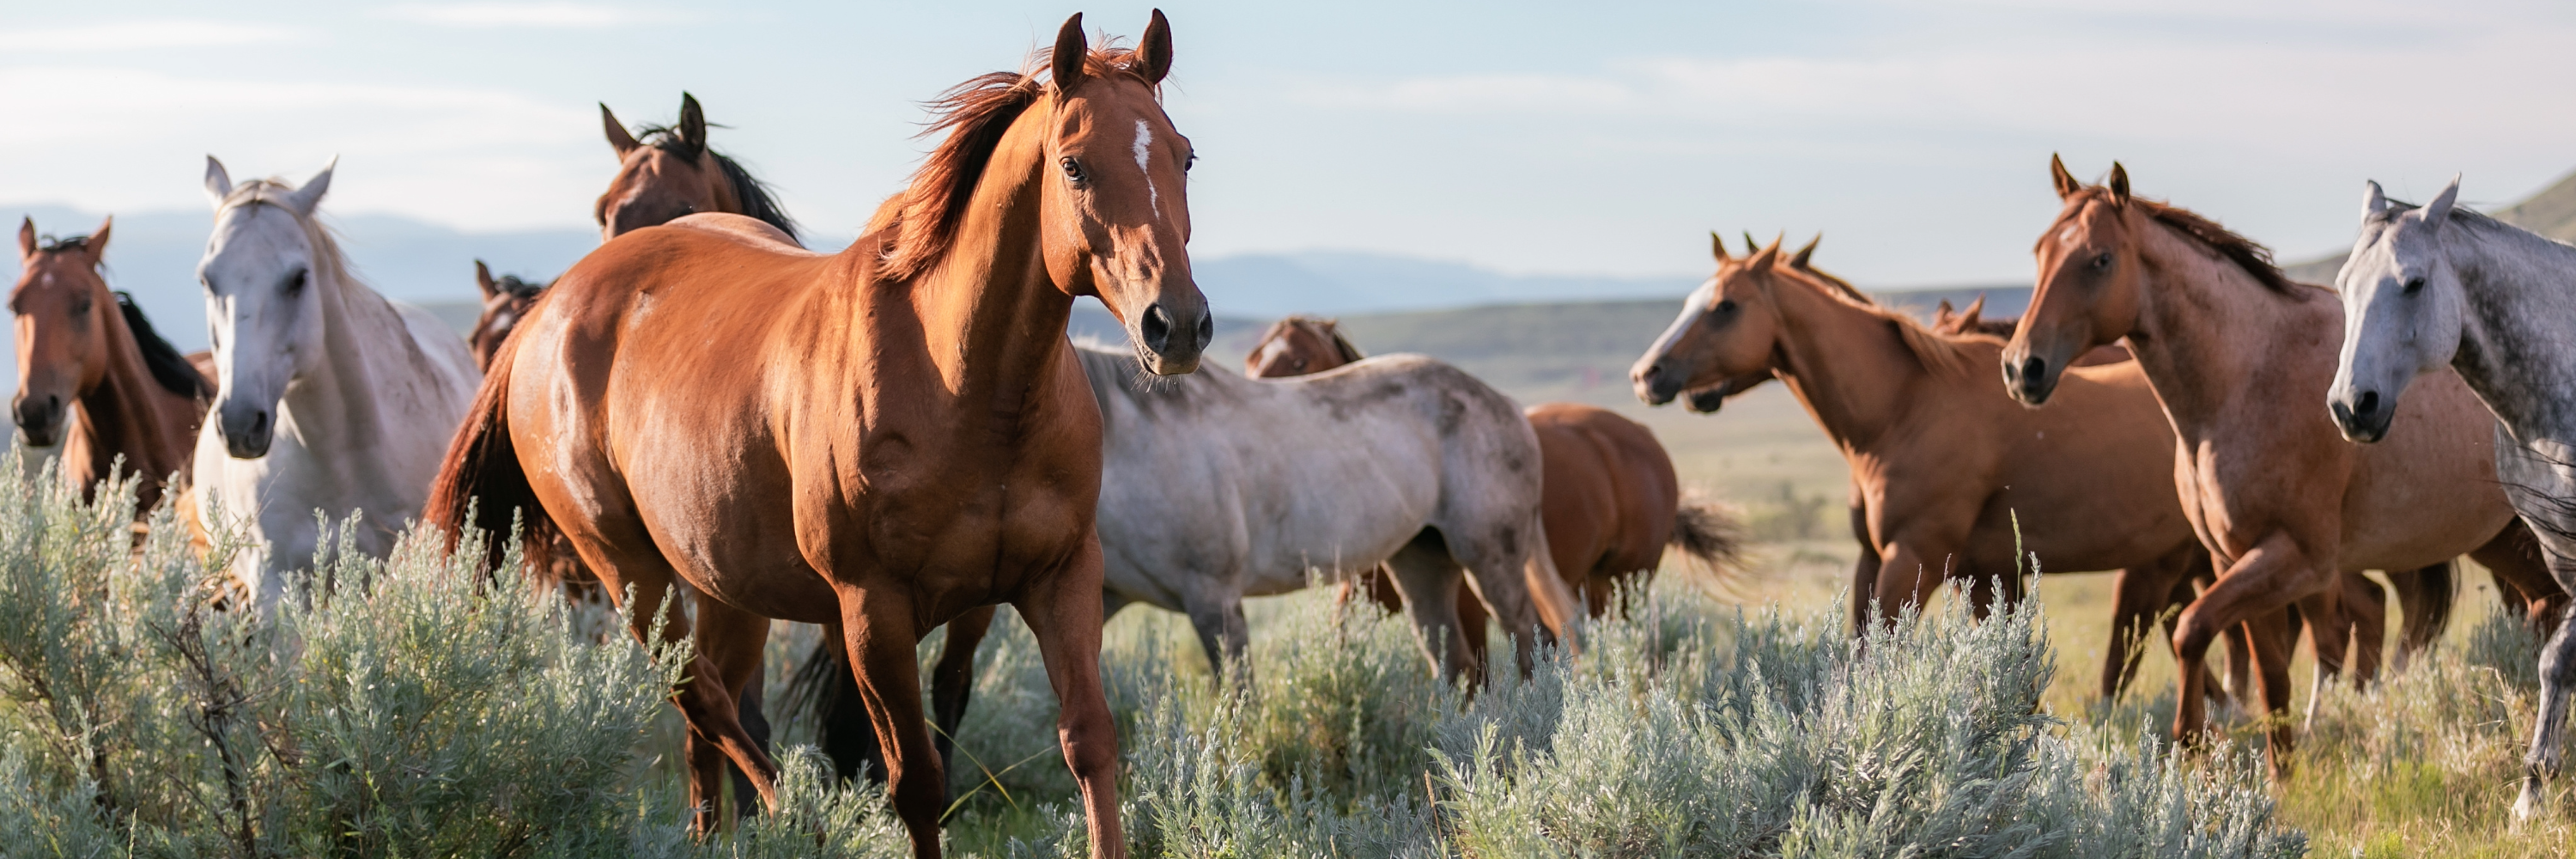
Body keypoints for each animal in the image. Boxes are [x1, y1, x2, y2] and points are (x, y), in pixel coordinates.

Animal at [427, 14, 1200, 854]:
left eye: (1184, 154)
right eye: (1073, 165)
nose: (1177, 324)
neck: (969, 389)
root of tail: (550, 309)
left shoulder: (1058, 576)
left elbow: (1088, 741)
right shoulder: (870, 612)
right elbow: (913, 778)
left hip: (723, 585)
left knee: (705, 720)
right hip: (628, 569)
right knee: (704, 700)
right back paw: (803, 817)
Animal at [1242, 315, 1740, 635]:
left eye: (1299, 362)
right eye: (1251, 362)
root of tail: (1643, 436)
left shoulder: (1468, 610)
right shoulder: (1358, 607)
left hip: (1625, 584)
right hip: (1590, 585)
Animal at [1626, 232, 2444, 702]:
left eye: (1726, 307)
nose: (1647, 373)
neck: (1903, 406)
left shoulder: (1915, 559)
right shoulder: (1946, 568)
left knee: (2344, 620)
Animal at [1999, 157, 2550, 763]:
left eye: (2100, 259)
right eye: (2040, 252)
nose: (2022, 367)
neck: (2247, 379)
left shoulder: (2295, 560)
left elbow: (2194, 630)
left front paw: (2191, 739)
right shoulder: (2233, 561)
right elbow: (2271, 680)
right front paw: (2279, 772)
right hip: (2499, 540)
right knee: (2541, 609)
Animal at [2324, 175, 2576, 819]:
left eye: (2413, 283)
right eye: (2342, 286)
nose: (2351, 406)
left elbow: (2556, 659)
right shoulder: (2562, 555)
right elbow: (2556, 663)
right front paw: (2531, 797)